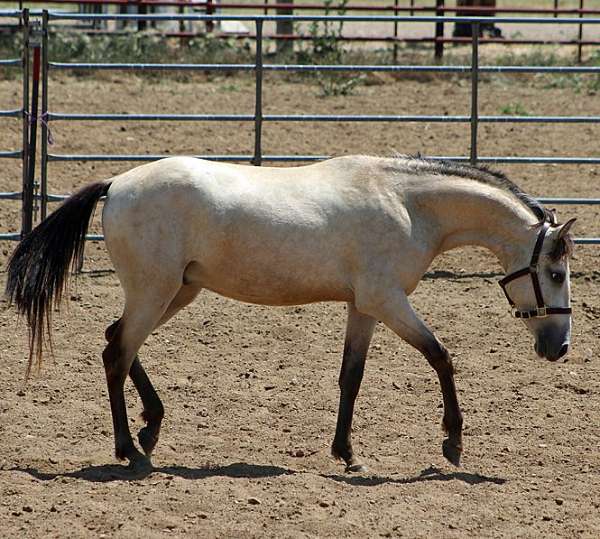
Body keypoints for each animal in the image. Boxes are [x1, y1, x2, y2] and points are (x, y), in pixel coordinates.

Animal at [5, 154, 576, 474]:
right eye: (555, 272)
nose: (560, 347)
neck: (406, 205)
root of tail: (118, 184)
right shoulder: (388, 300)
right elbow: (441, 357)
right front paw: (452, 443)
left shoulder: (364, 306)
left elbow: (351, 377)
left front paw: (347, 453)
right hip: (154, 292)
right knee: (118, 352)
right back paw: (132, 450)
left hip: (176, 293)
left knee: (115, 340)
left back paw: (150, 429)